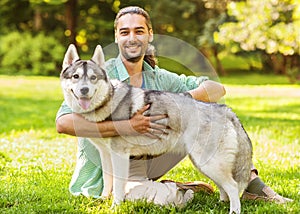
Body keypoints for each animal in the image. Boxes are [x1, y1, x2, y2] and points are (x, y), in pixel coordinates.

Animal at [59, 44, 252, 213]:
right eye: (75, 77)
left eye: (93, 78)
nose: (84, 90)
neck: (107, 101)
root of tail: (225, 109)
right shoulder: (106, 156)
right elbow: (108, 184)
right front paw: (104, 201)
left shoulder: (119, 156)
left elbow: (118, 188)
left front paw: (115, 207)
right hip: (204, 164)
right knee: (225, 188)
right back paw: (221, 203)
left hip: (208, 163)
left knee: (233, 186)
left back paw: (233, 210)